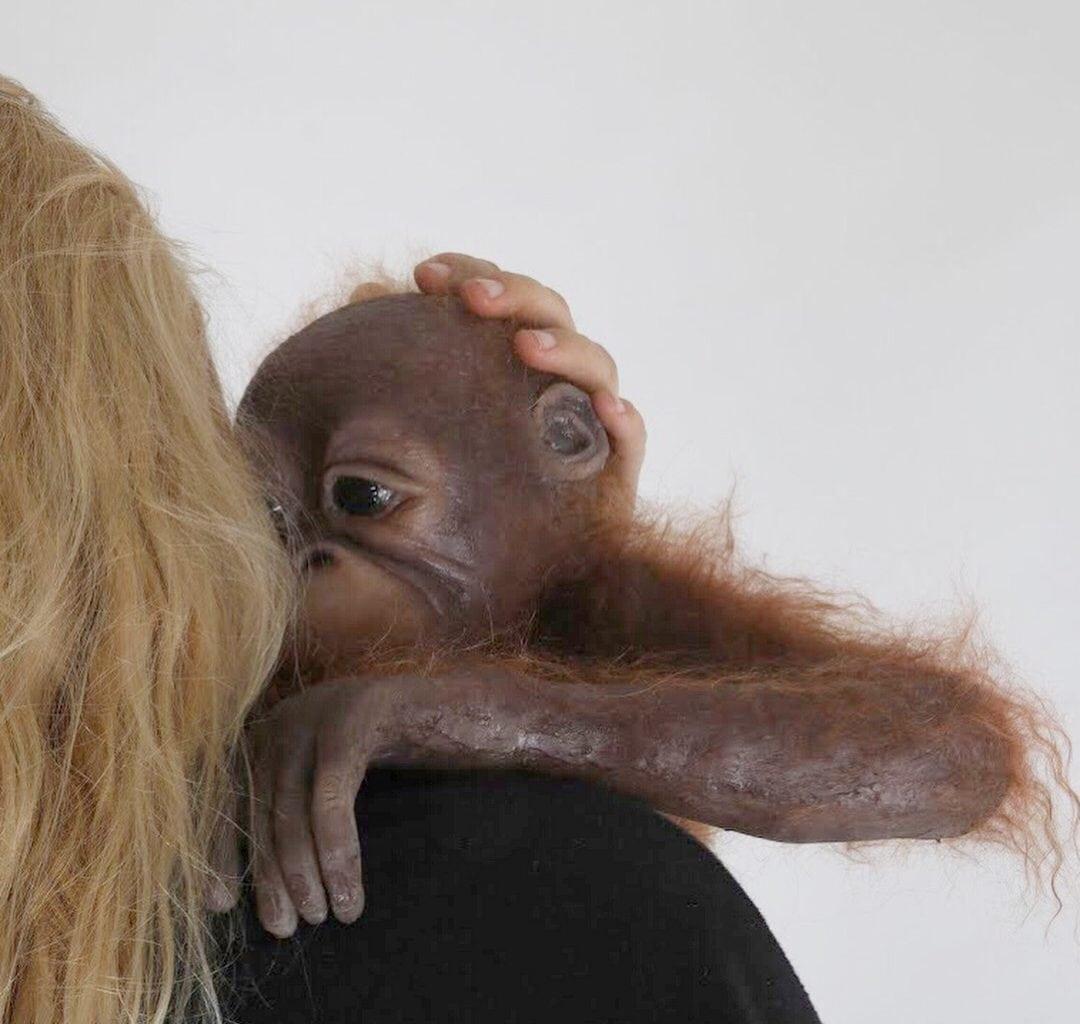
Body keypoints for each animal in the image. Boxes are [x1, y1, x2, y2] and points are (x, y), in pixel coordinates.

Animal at [234, 281, 1077, 930]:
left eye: (361, 496)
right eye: (271, 523)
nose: (306, 561)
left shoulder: (637, 595)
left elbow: (941, 729)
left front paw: (394, 706)